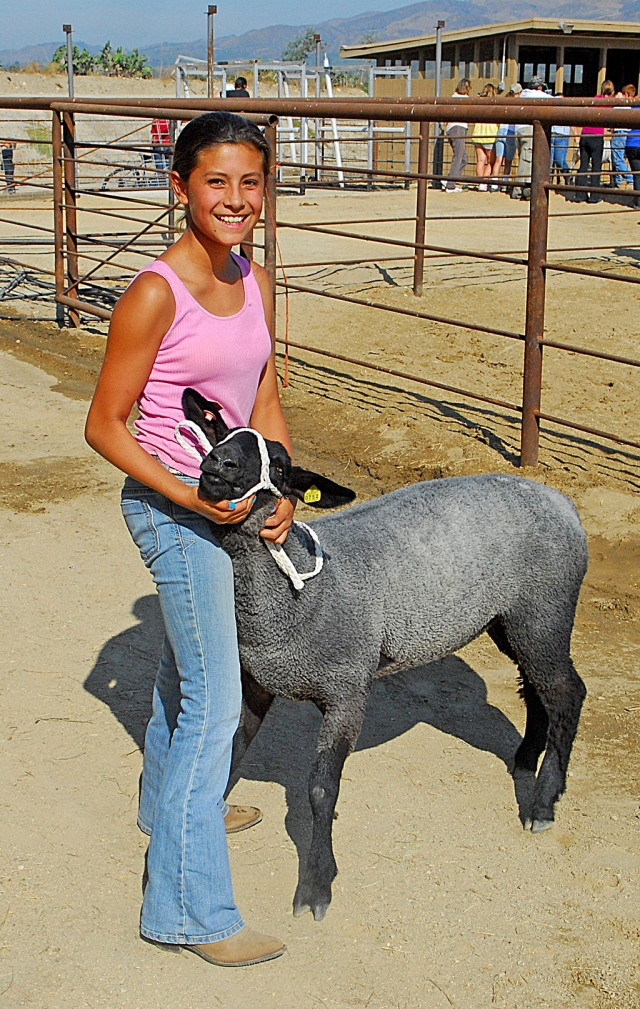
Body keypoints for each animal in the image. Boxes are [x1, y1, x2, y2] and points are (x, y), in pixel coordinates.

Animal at [180, 387, 589, 924]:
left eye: (282, 467)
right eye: (221, 435)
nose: (219, 464)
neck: (299, 592)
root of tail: (563, 503)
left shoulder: (347, 690)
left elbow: (320, 790)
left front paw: (316, 886)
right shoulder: (258, 682)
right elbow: (230, 753)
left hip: (546, 607)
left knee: (566, 691)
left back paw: (542, 805)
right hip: (511, 618)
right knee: (538, 688)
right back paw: (525, 761)